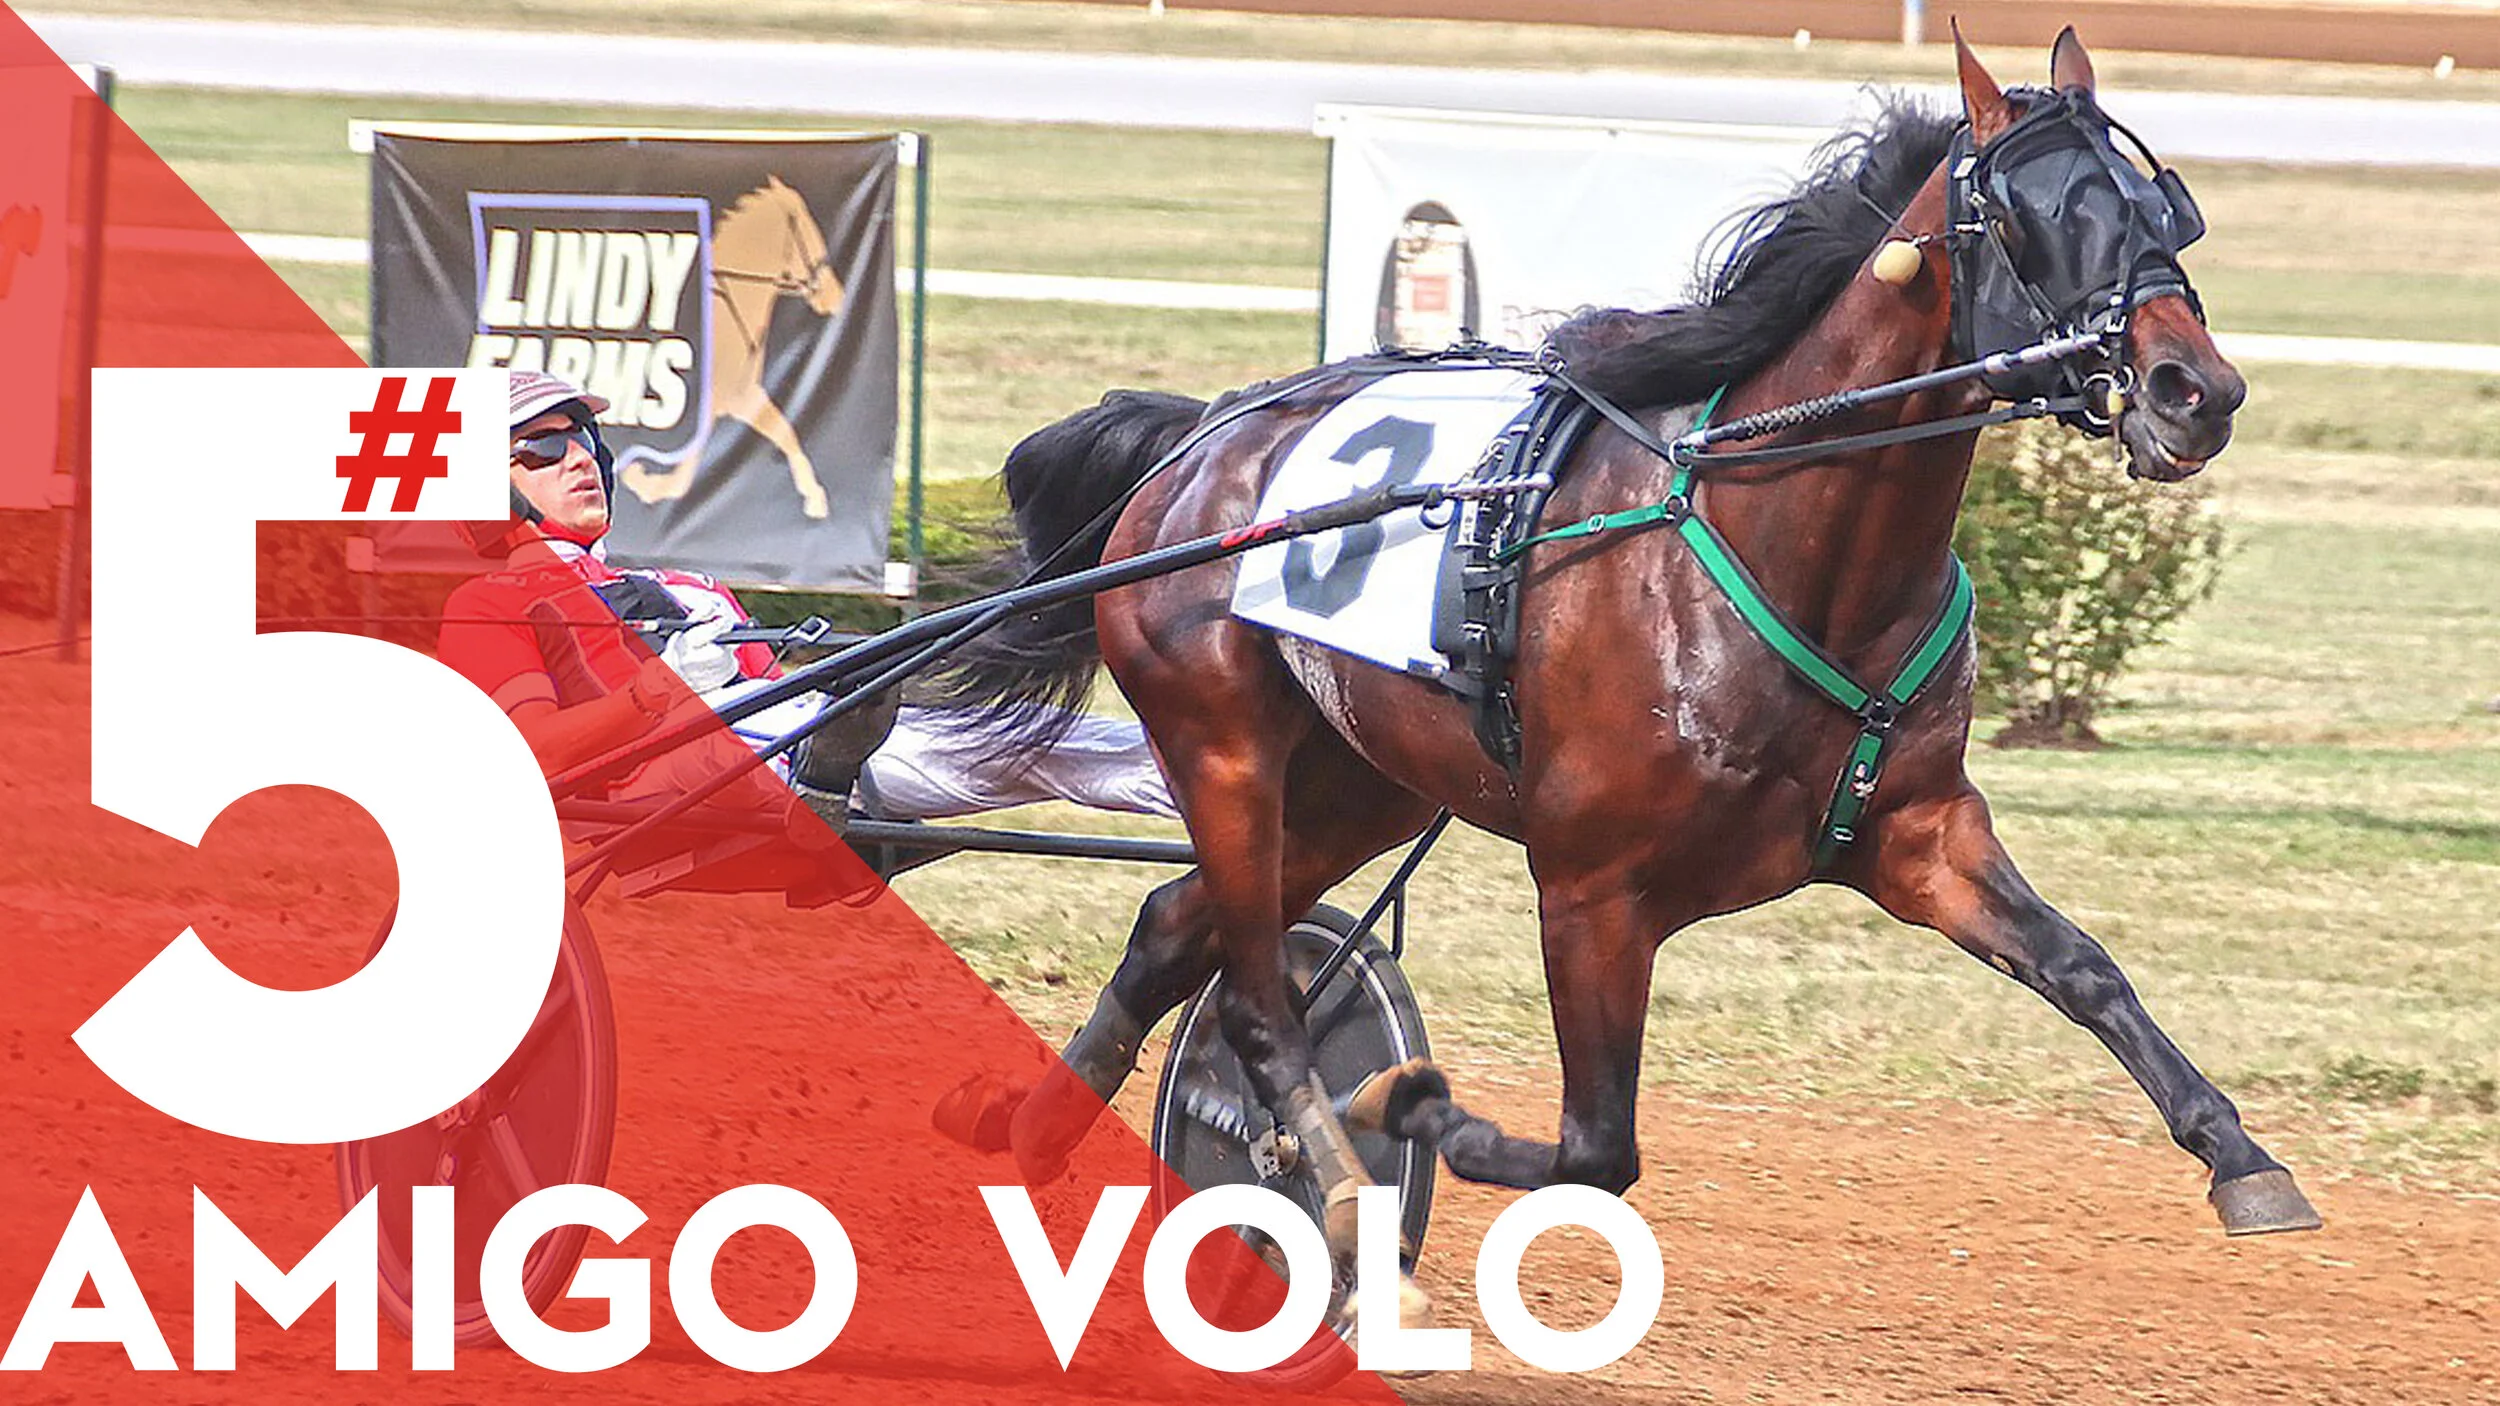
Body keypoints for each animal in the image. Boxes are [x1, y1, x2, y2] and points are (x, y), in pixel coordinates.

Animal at [619, 174, 844, 519]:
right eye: (808, 228)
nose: (836, 295)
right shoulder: (720, 399)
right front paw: (647, 483)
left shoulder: (742, 395)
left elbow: (784, 432)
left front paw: (814, 498)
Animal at [951, 29, 2321, 1329]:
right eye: (2042, 212)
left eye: (2164, 211)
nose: (2194, 389)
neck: (1781, 537)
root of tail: (1202, 439)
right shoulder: (1592, 890)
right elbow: (1594, 1148)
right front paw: (1408, 1105)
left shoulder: (1919, 829)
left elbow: (2084, 967)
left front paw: (2240, 1156)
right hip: (1225, 745)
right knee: (1251, 1001)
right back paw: (1331, 1189)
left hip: (1357, 783)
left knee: (1170, 928)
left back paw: (1038, 1135)